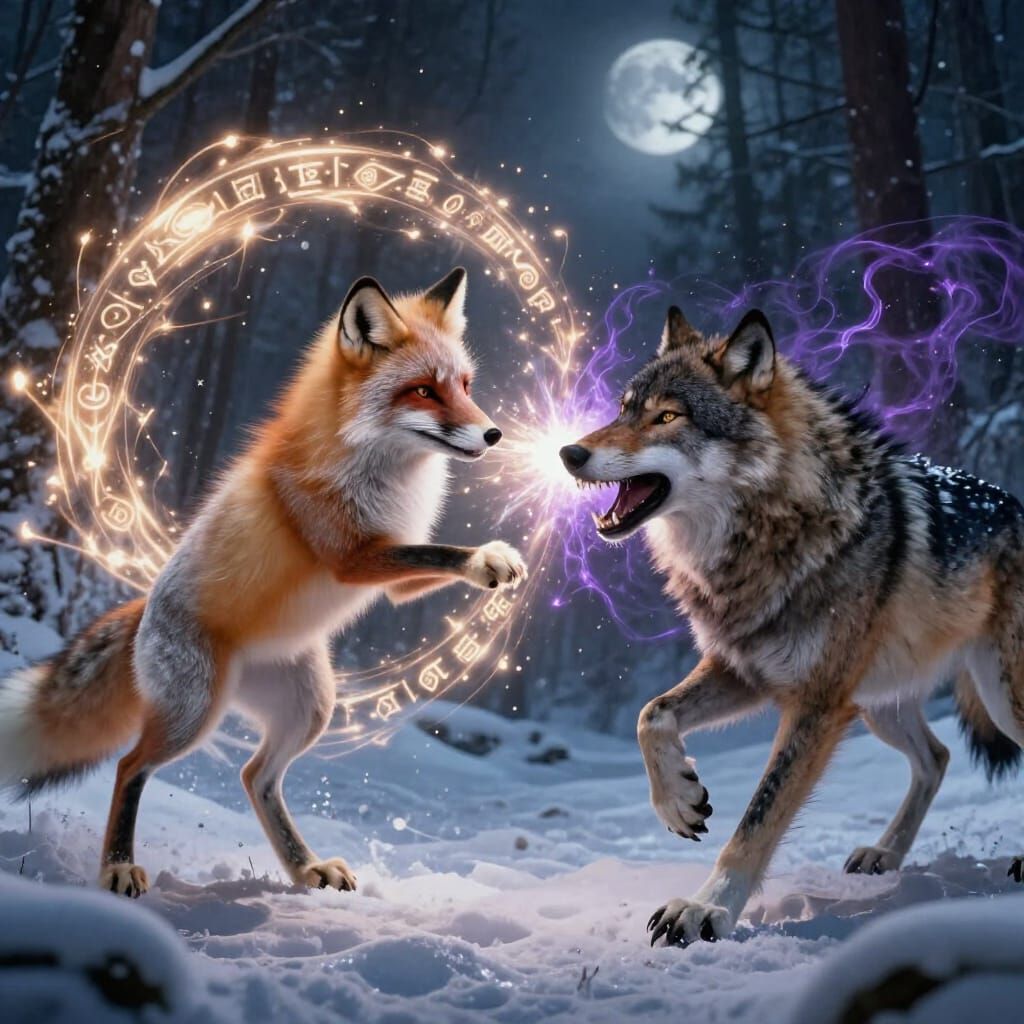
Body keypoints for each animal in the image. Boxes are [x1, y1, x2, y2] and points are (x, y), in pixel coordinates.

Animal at [0, 266, 526, 897]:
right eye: (424, 390)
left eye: (466, 385)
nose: (494, 435)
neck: (380, 471)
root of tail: (142, 609)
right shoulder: (353, 557)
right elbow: (436, 552)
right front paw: (487, 559)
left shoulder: (392, 579)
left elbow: (427, 557)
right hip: (195, 712)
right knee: (131, 766)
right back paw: (117, 867)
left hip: (309, 706)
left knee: (255, 775)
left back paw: (304, 868)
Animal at [559, 303, 1024, 946]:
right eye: (624, 410)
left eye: (668, 416)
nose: (569, 453)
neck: (771, 531)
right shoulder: (745, 669)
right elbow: (650, 714)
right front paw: (680, 799)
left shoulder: (816, 703)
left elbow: (759, 817)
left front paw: (705, 909)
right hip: (879, 705)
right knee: (937, 757)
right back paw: (884, 855)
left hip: (998, 696)